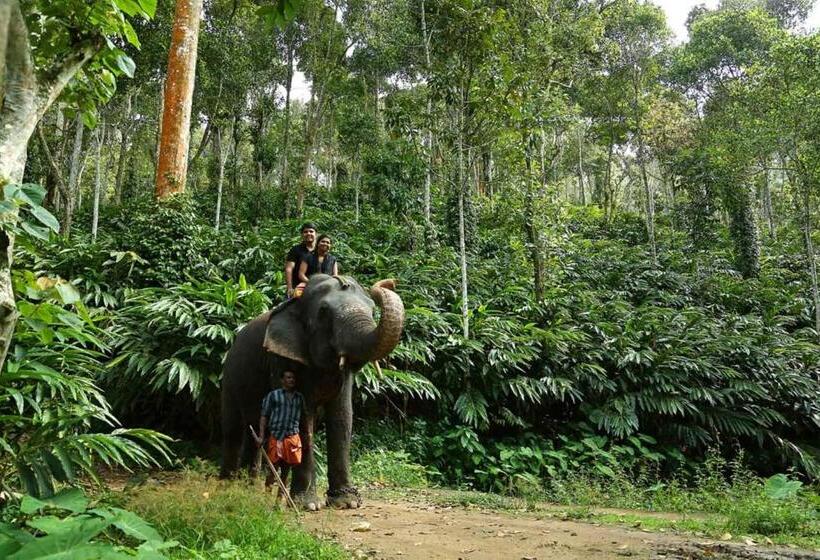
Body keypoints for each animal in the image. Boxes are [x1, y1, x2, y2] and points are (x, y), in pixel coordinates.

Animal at [219, 274, 404, 510]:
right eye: (324, 312)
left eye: (373, 309)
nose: (390, 282)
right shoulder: (280, 358)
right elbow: (302, 417)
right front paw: (308, 505)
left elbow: (342, 416)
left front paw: (347, 503)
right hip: (230, 375)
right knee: (233, 429)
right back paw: (228, 488)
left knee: (256, 432)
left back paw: (248, 489)